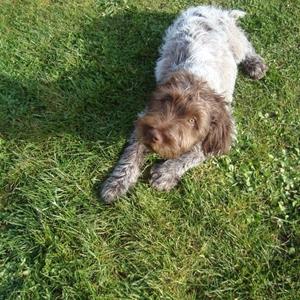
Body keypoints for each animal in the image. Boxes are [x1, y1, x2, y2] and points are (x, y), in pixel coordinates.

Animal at [101, 5, 268, 204]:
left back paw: (255, 63)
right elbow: (131, 153)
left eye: (192, 120)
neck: (196, 76)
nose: (153, 134)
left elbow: (196, 152)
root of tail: (212, 9)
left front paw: (166, 173)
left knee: (246, 45)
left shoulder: (225, 129)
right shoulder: (145, 118)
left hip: (235, 41)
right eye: (165, 100)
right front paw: (117, 182)